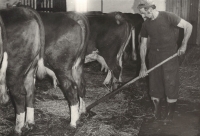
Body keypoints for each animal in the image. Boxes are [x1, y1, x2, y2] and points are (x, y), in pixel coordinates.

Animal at [0, 6, 56, 135]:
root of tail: (25, 10)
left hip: (14, 69)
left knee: (19, 94)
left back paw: (18, 128)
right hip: (31, 66)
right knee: (30, 91)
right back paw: (29, 123)